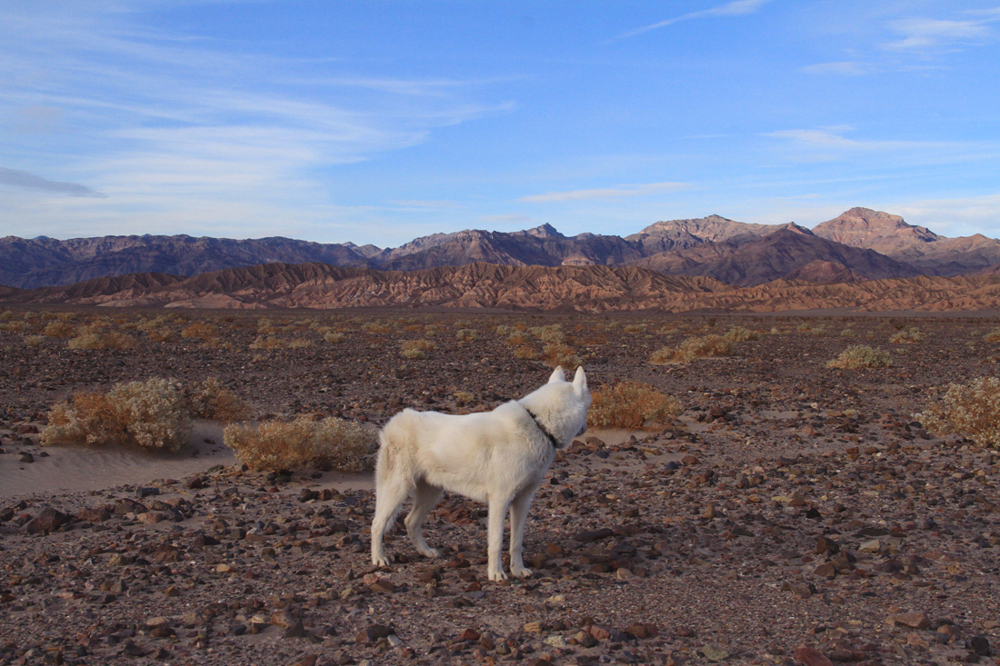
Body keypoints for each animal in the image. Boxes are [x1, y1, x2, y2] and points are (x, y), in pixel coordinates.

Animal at [370, 366, 588, 580]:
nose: (586, 428)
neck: (539, 425)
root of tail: (395, 421)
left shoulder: (522, 501)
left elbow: (516, 543)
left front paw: (518, 570)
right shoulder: (500, 501)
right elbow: (497, 543)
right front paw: (496, 573)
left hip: (432, 494)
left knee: (410, 522)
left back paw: (426, 551)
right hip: (397, 490)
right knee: (377, 524)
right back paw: (378, 558)